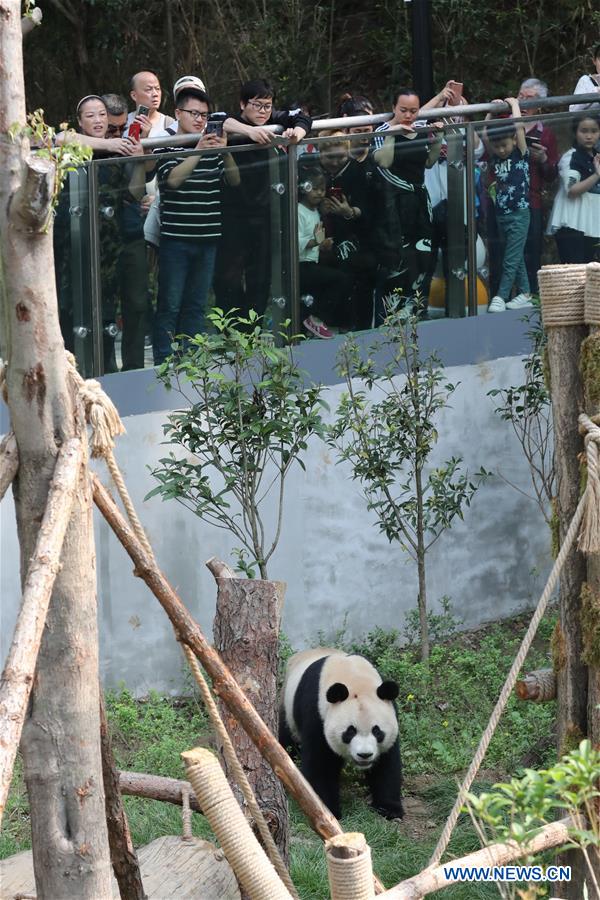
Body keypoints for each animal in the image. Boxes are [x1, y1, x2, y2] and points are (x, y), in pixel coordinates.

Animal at [278, 648, 404, 824]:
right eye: (350, 731)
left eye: (377, 731)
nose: (365, 755)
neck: (353, 676)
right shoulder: (316, 712)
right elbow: (321, 763)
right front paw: (328, 810)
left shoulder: (390, 710)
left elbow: (387, 763)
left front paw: (389, 809)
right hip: (287, 707)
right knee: (287, 742)